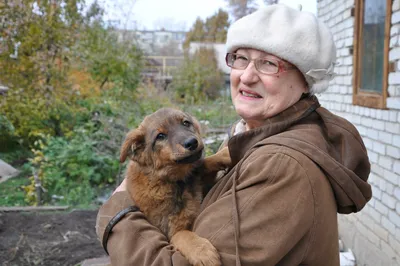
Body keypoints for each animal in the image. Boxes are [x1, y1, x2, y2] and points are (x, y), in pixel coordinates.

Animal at [120, 107, 230, 266]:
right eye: (160, 136)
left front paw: (225, 153)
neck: (177, 182)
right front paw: (202, 252)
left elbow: (203, 163)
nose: (192, 142)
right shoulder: (170, 230)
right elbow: (183, 235)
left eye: (186, 123)